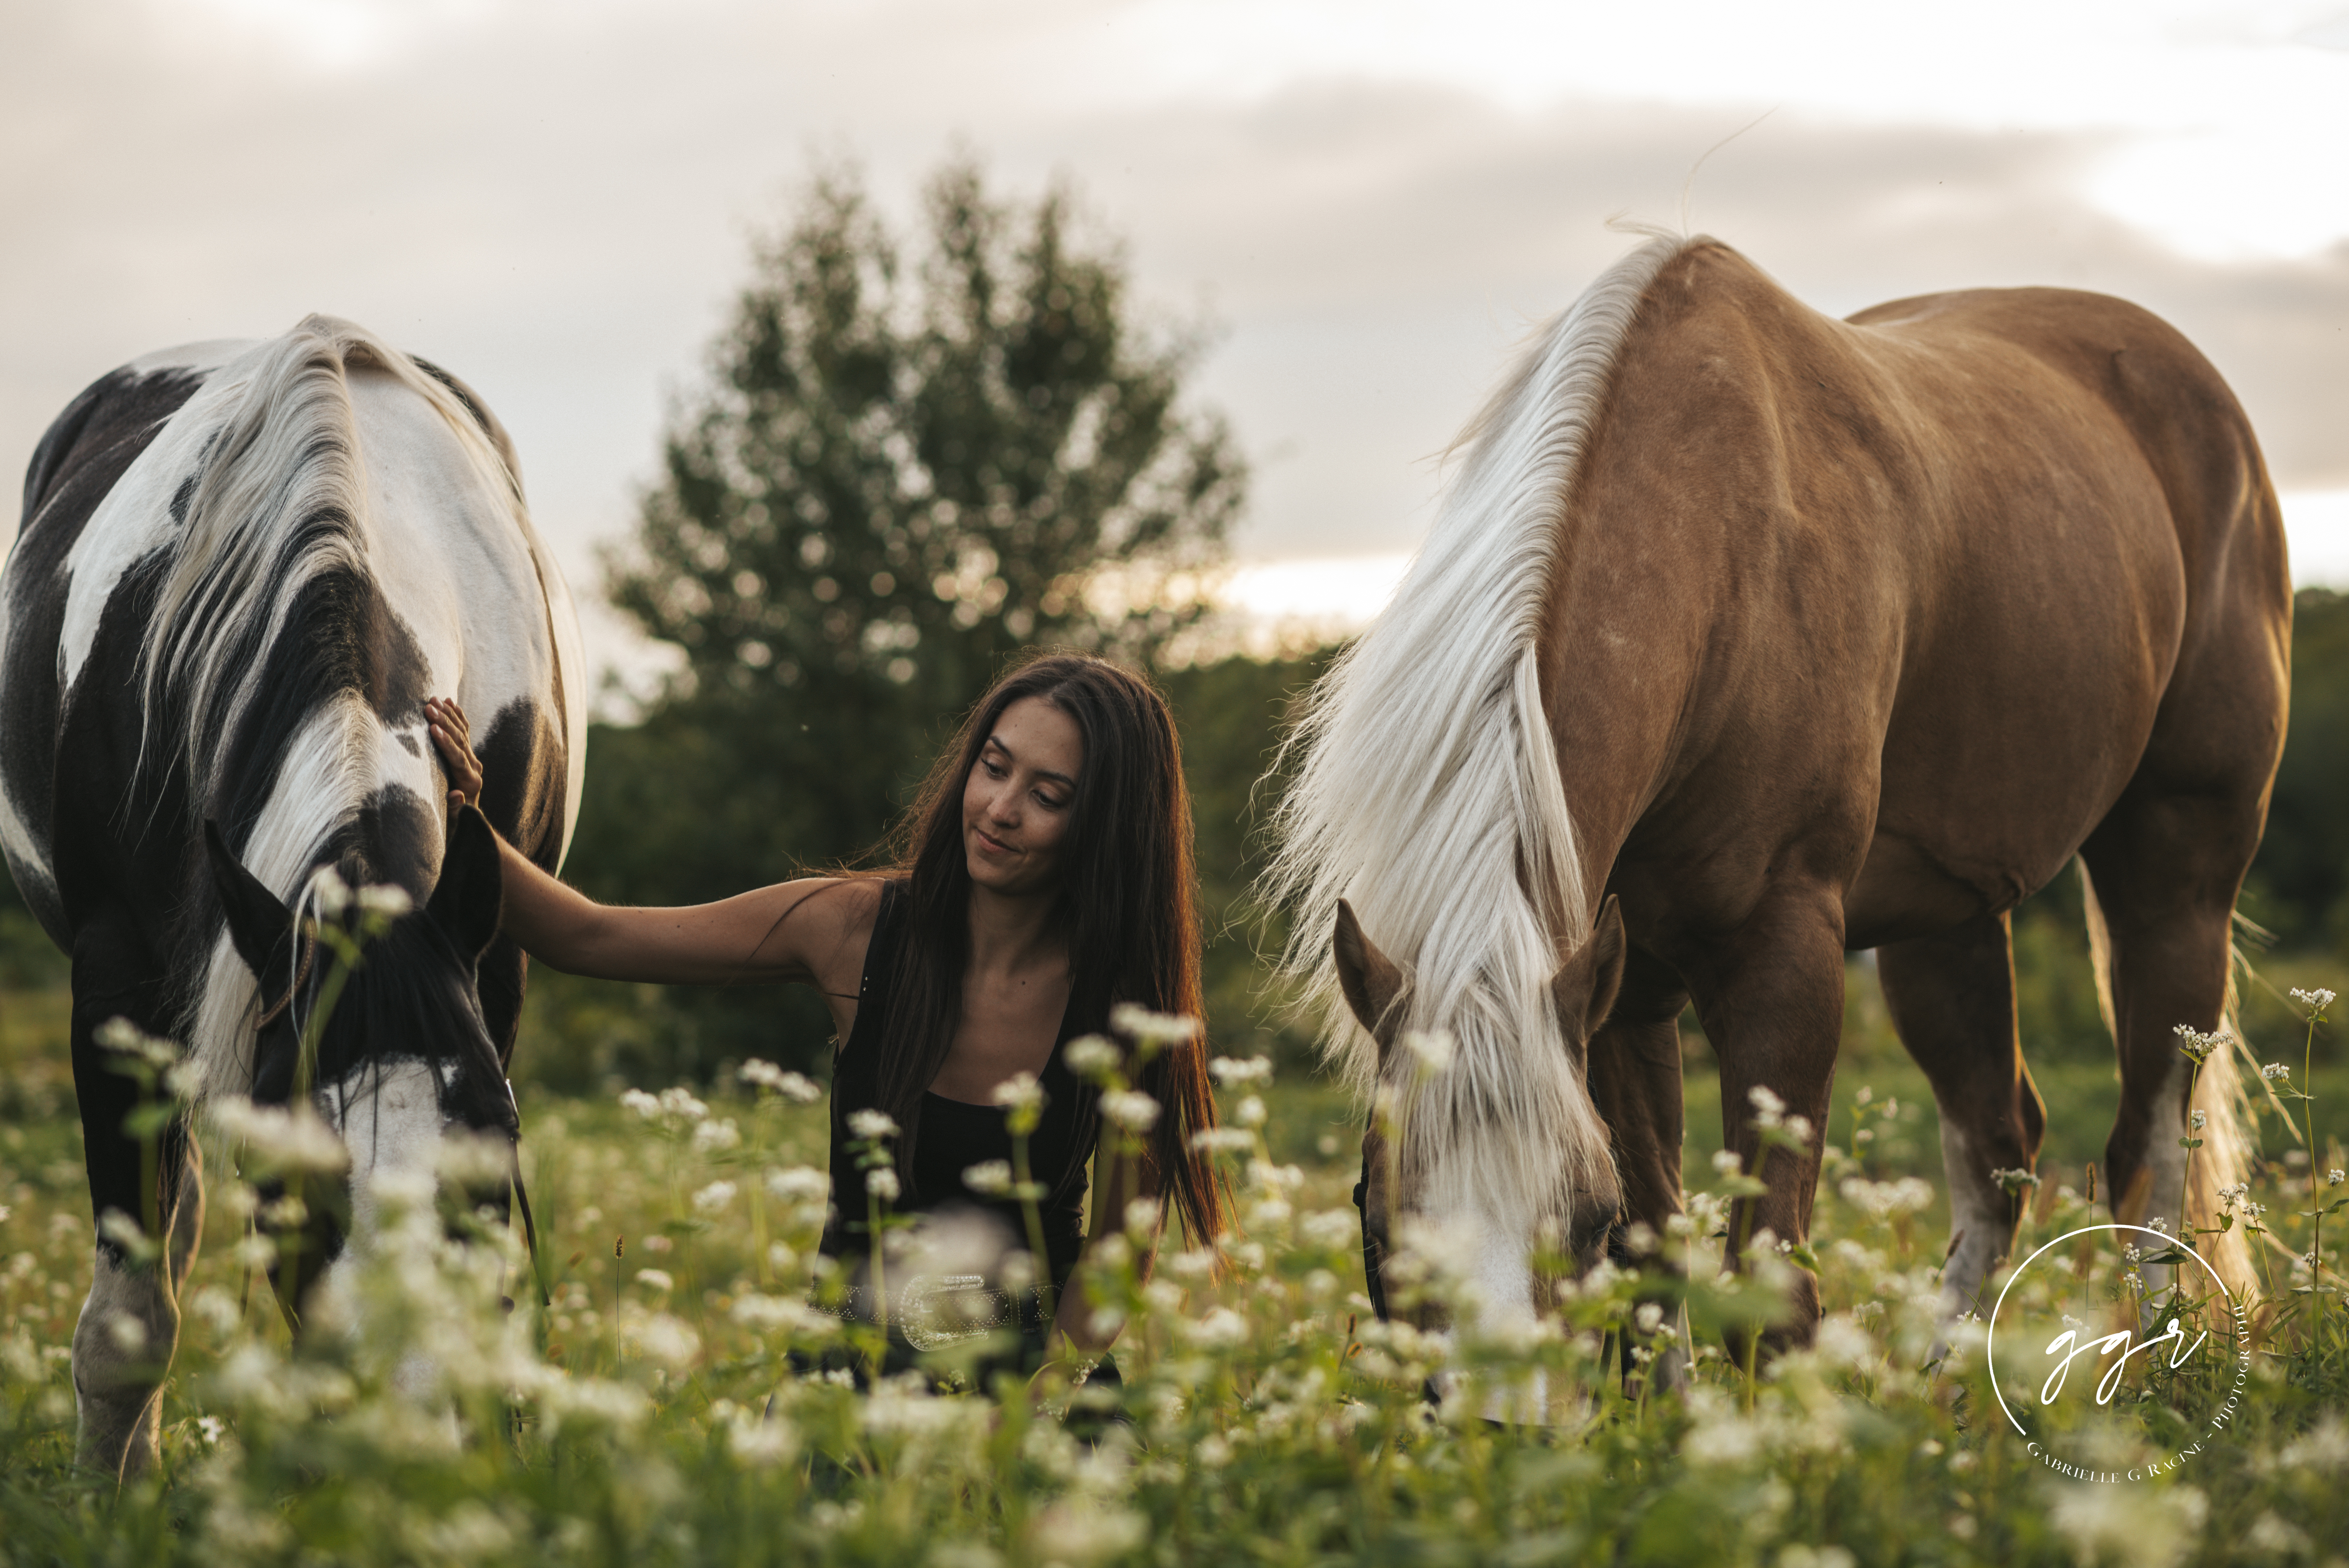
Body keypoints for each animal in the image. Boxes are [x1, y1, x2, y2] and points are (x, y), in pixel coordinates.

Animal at [0, 317, 586, 1477]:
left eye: (493, 1151)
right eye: (287, 1181)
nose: (406, 1444)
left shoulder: (494, 965)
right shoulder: (117, 987)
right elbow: (129, 1315)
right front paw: (106, 1496)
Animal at [1266, 233, 2286, 1360]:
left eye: (1579, 1216)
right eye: (1380, 1219)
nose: (1499, 1404)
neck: (1719, 558)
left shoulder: (1781, 958)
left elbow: (1769, 1295)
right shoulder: (1618, 990)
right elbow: (1656, 1272)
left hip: (2177, 880)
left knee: (2149, 1149)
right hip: (1945, 924)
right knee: (1998, 1149)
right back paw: (1941, 1389)